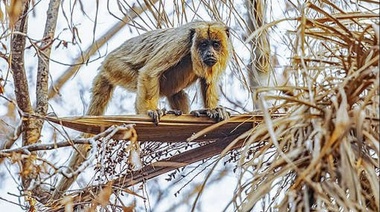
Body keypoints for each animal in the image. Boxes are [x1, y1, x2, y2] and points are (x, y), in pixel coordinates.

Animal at [52, 20, 232, 198]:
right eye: (203, 44)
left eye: (215, 44)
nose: (209, 53)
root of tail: (104, 64)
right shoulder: (179, 43)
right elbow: (149, 72)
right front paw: (150, 112)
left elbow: (207, 81)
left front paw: (212, 110)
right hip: (116, 67)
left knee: (178, 93)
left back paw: (188, 113)